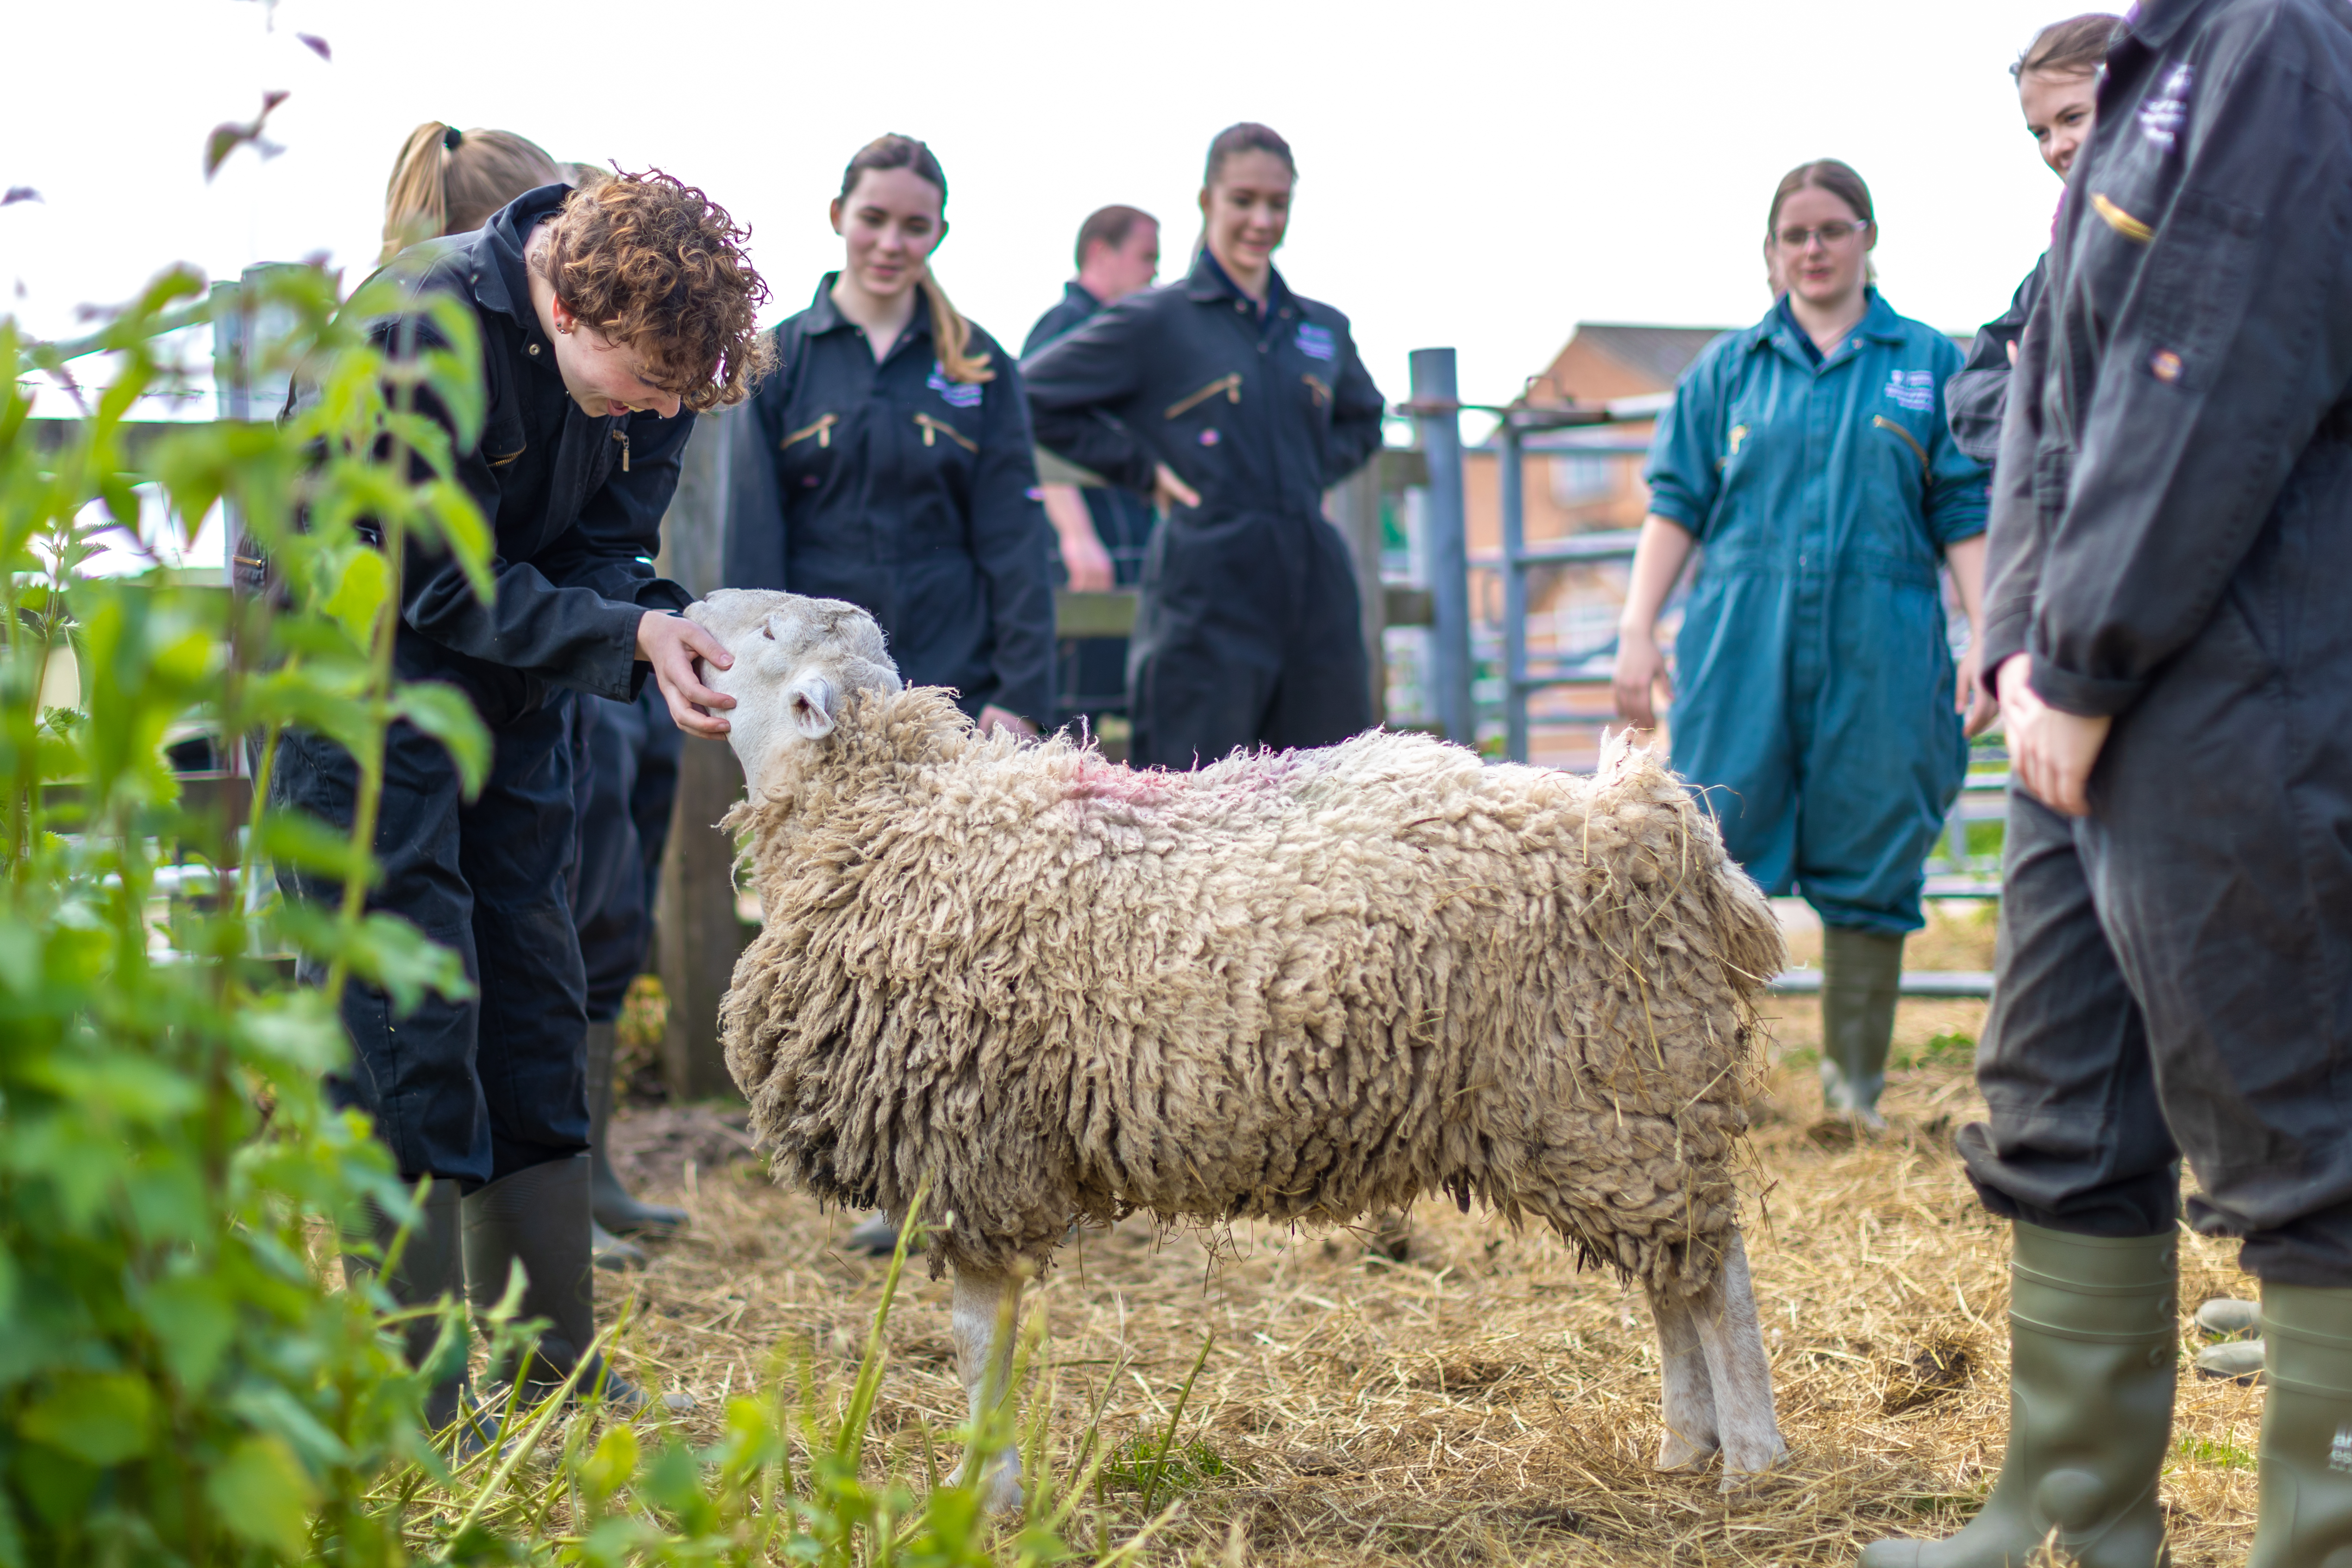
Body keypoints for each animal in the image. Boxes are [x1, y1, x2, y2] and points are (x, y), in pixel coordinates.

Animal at [687, 588, 1792, 1508]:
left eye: (767, 633)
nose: (690, 607)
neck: (885, 813)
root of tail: (1647, 826)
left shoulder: (973, 1147)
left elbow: (975, 1338)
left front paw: (985, 1493)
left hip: (1617, 1081)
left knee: (1718, 1276)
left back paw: (1751, 1458)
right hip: (1614, 1106)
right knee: (1672, 1275)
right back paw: (1684, 1445)